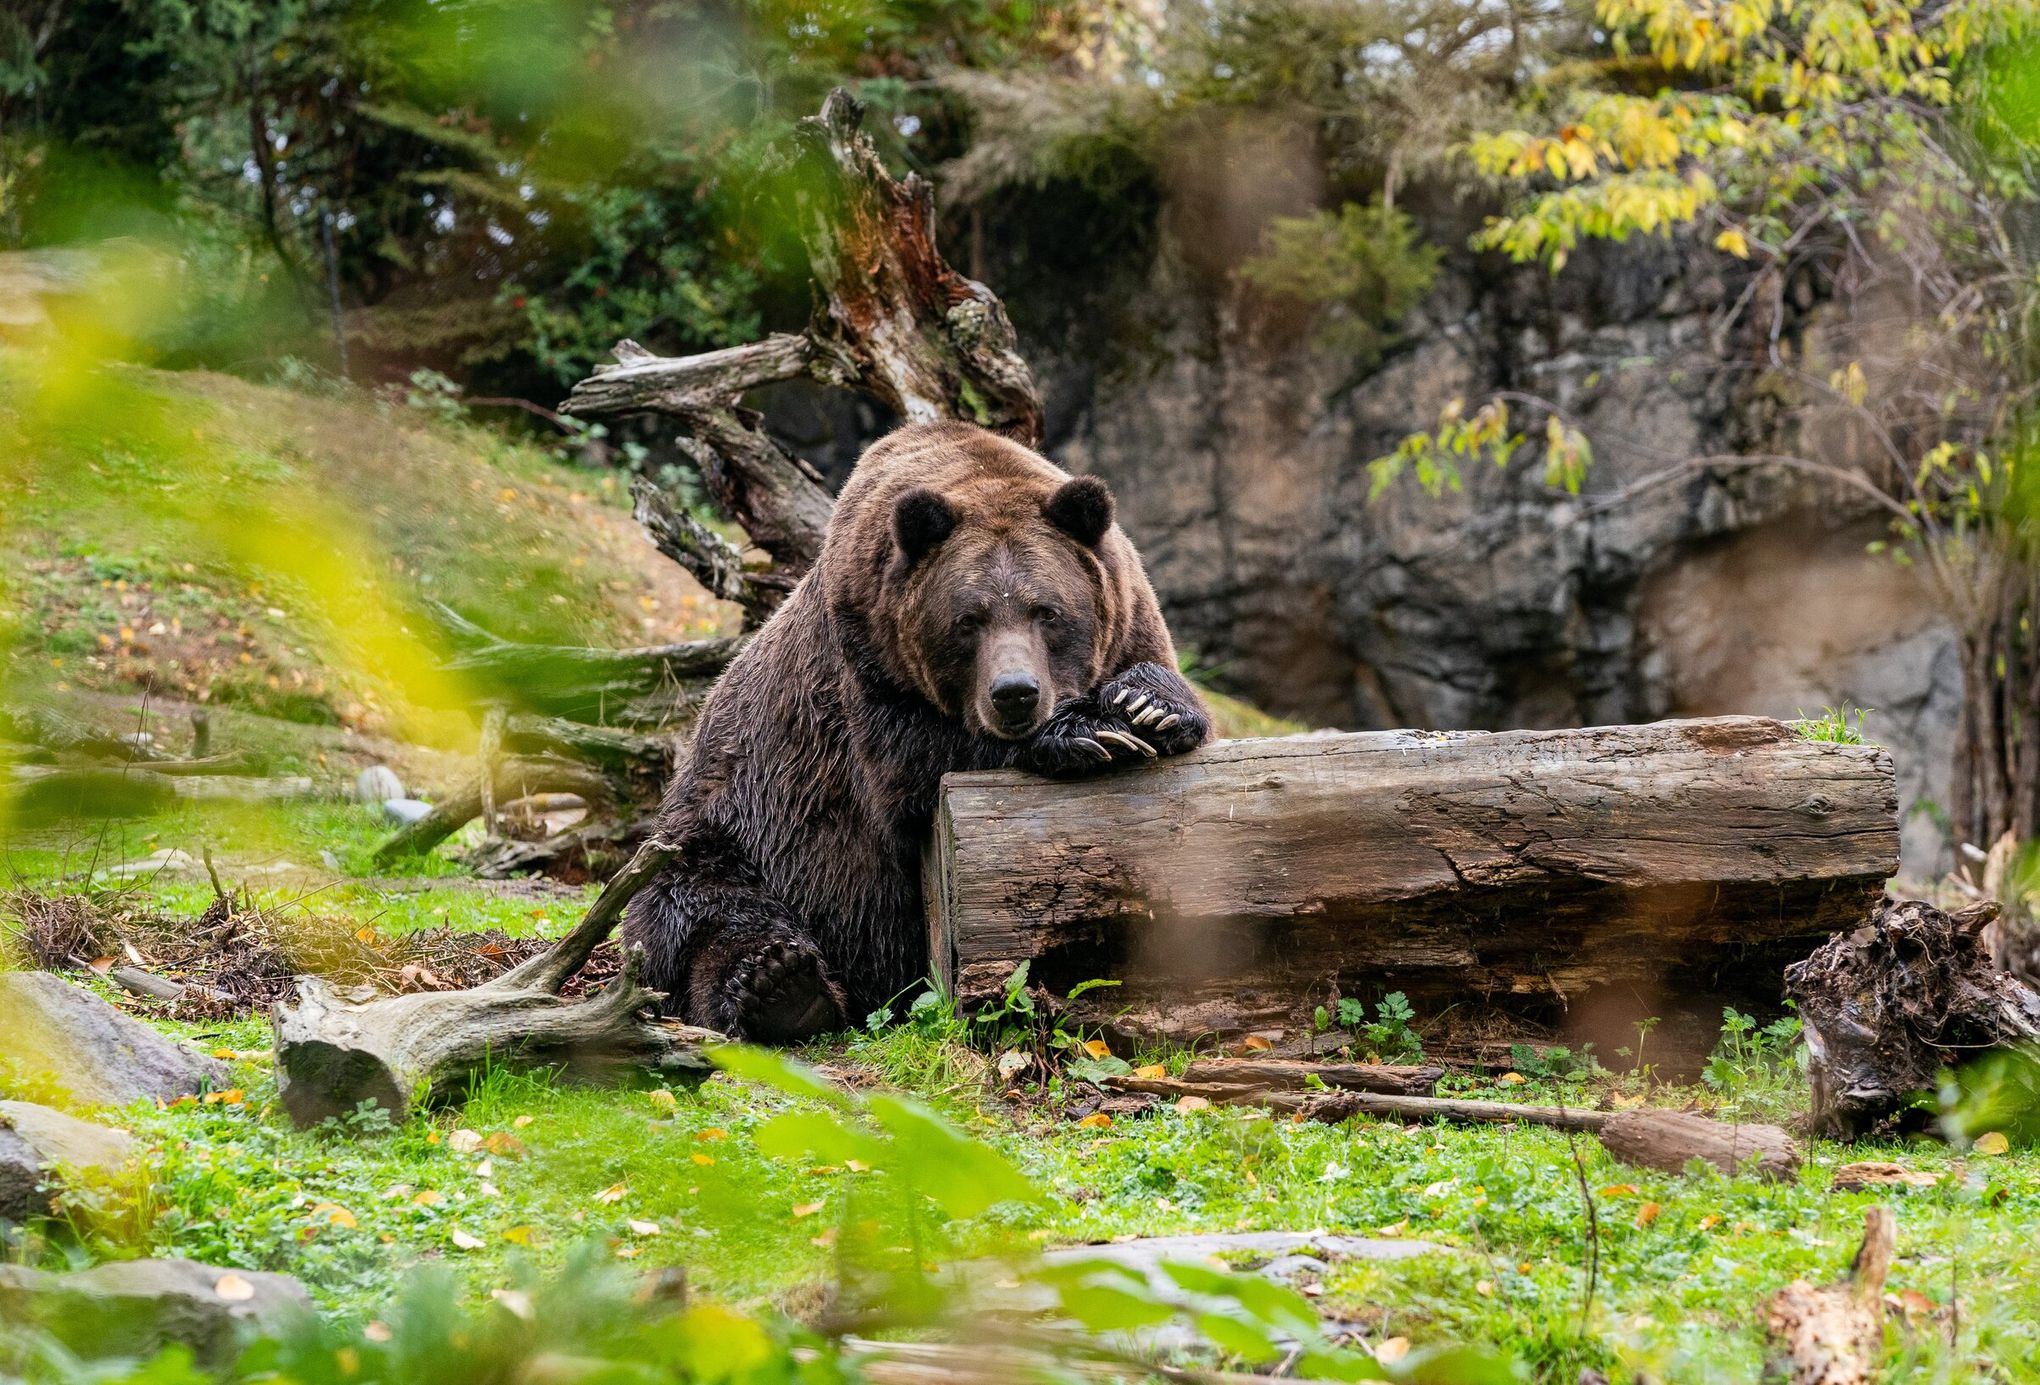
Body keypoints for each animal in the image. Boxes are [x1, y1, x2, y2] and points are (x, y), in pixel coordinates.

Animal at [620, 420, 1207, 1040]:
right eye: (969, 619)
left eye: (1046, 611)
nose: (1015, 693)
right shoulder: (868, 666)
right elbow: (917, 768)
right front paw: (1085, 731)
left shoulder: (1130, 620)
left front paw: (1146, 706)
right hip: (734, 832)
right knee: (694, 915)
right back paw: (777, 985)